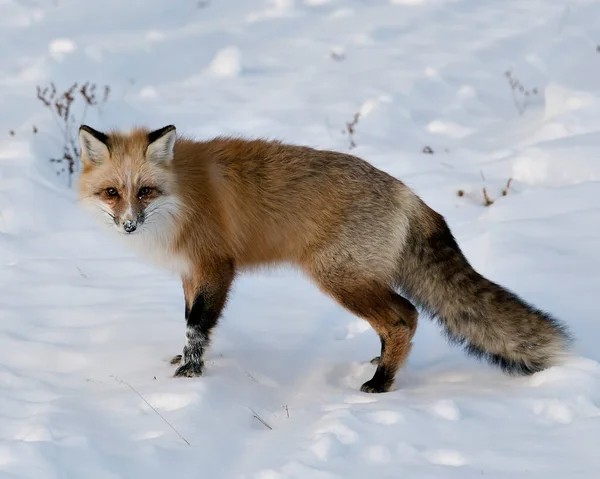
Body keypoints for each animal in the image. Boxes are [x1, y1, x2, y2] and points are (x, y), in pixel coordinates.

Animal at [77, 124, 568, 394]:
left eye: (145, 191)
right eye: (112, 192)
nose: (129, 226)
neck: (180, 199)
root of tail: (407, 192)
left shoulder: (216, 267)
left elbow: (197, 325)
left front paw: (191, 374)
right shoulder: (189, 273)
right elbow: (189, 322)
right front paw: (183, 361)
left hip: (338, 279)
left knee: (404, 316)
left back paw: (381, 383)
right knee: (399, 318)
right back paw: (380, 365)